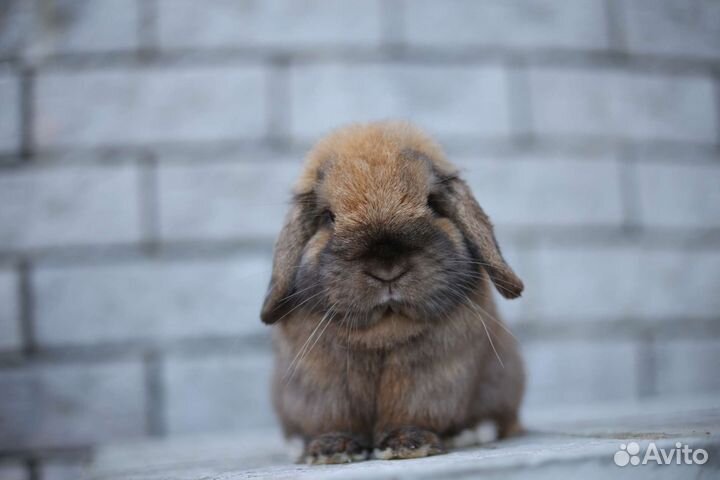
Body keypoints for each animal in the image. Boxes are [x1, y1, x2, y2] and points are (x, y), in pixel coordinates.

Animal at [261, 121, 525, 464]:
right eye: (328, 217)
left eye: (432, 203)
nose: (387, 267)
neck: (384, 330)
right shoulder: (321, 384)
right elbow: (332, 420)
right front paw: (330, 450)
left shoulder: (430, 377)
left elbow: (413, 413)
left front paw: (409, 445)